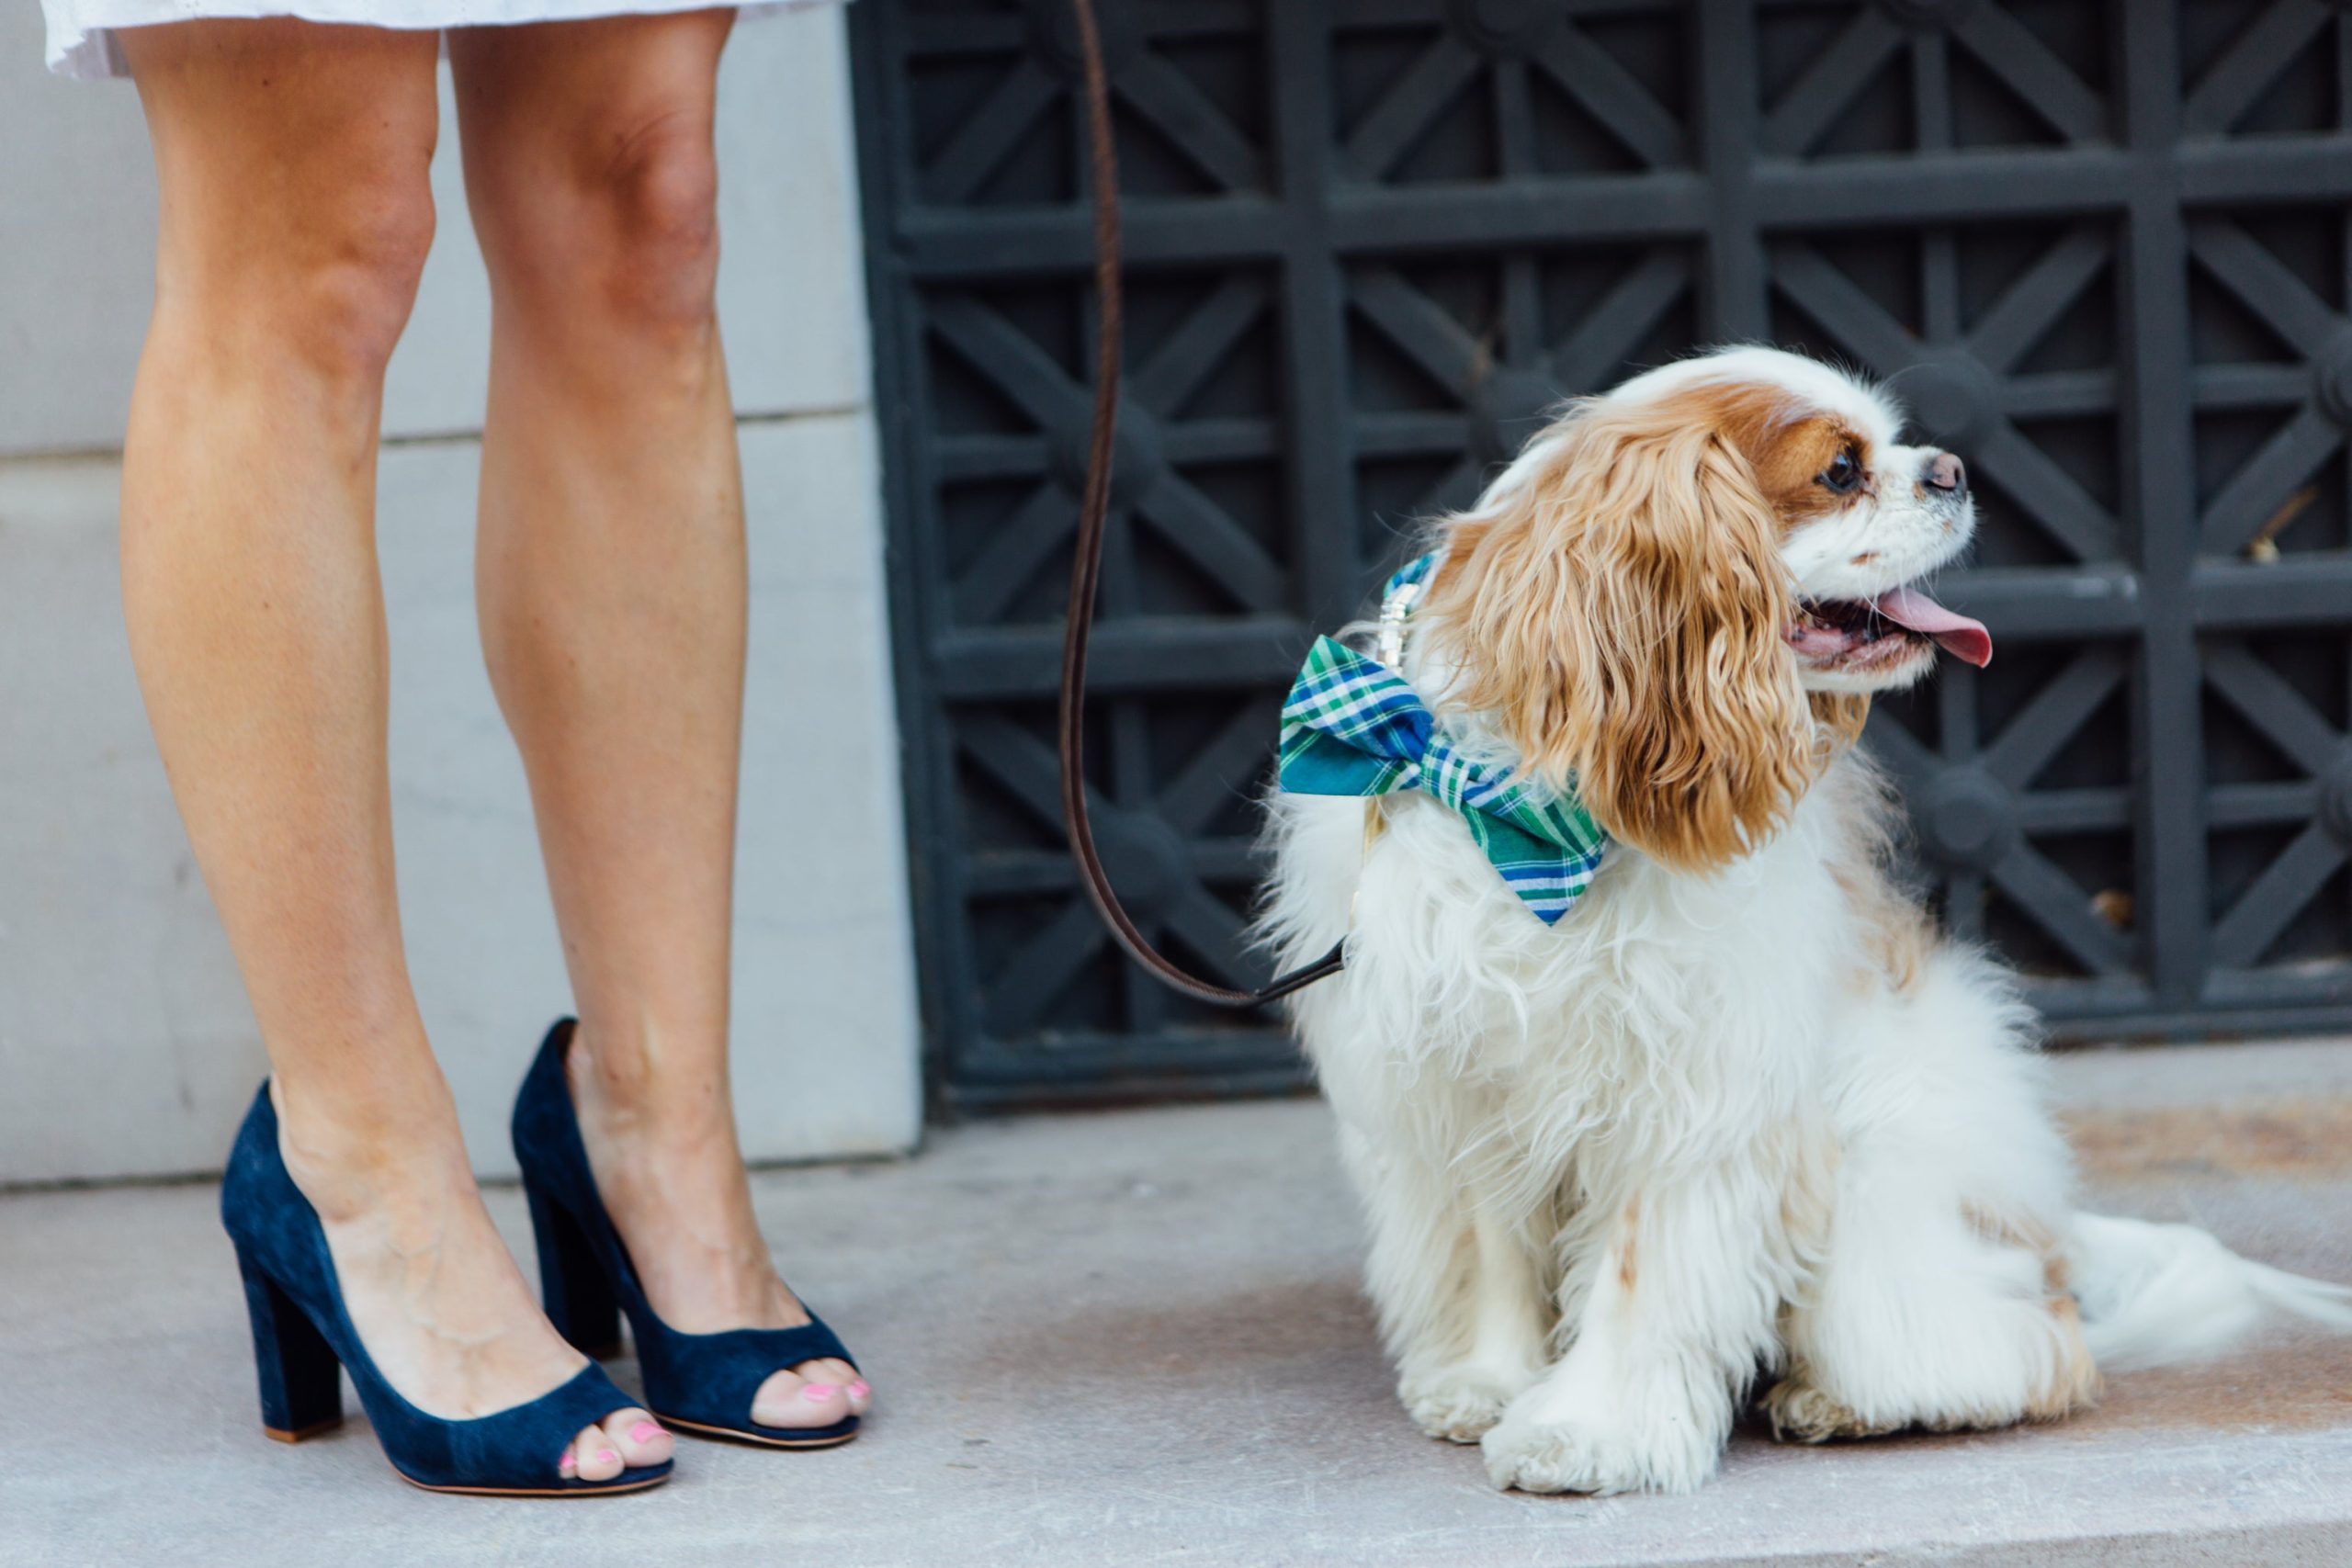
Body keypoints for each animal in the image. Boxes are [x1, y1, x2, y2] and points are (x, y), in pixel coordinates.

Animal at [1261, 343, 2352, 1495]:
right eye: (1838, 470)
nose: (1951, 468)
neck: (1544, 815)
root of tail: (2047, 1232)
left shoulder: (1693, 1090)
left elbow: (1637, 1274)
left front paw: (1588, 1433)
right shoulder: (1455, 1073)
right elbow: (1491, 1245)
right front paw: (1486, 1382)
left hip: (1885, 1204)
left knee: (2026, 1348)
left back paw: (1846, 1400)